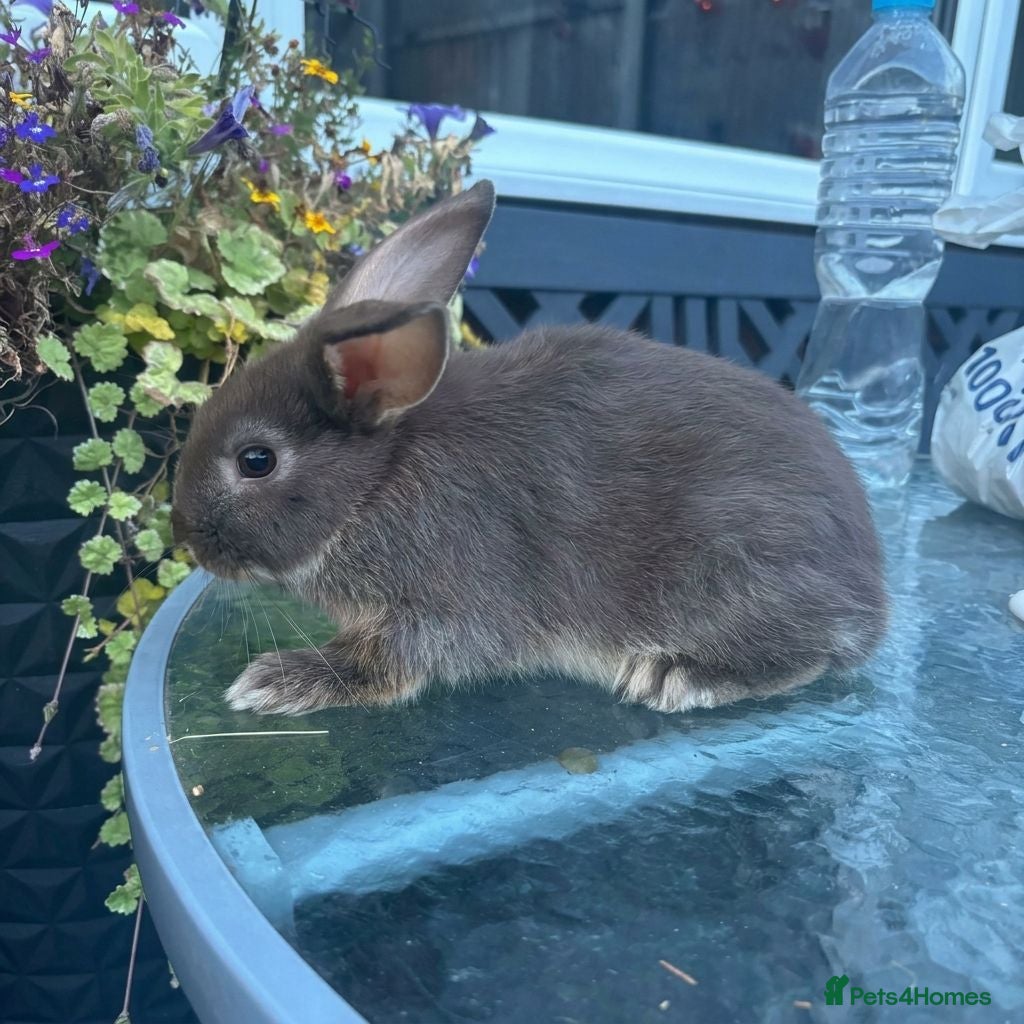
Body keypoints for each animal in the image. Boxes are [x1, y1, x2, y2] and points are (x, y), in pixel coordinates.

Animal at [171, 179, 888, 717]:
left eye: (256, 461)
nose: (189, 538)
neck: (376, 481)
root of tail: (871, 590)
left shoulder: (437, 608)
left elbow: (388, 665)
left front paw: (275, 680)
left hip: (734, 567)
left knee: (806, 654)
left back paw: (675, 675)